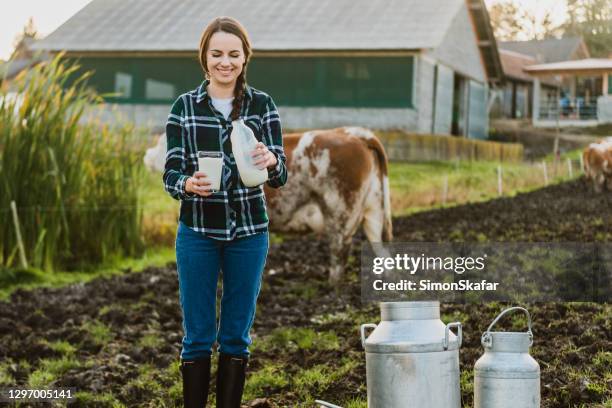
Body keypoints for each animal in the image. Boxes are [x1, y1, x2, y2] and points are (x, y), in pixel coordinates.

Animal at [262, 126, 392, 282]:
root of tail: (350, 132)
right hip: (374, 210)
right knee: (381, 251)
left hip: (339, 212)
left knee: (339, 254)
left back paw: (332, 286)